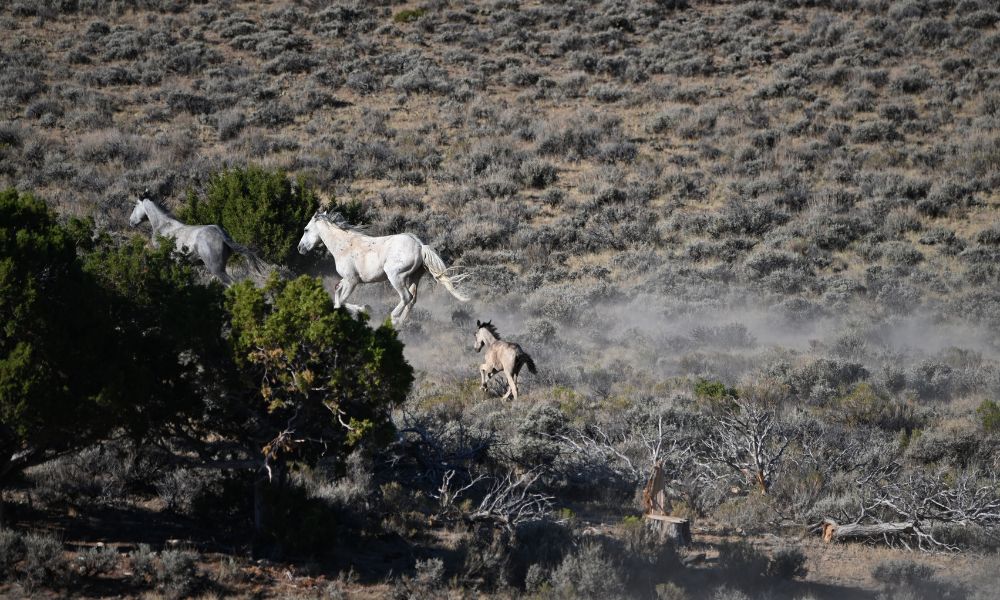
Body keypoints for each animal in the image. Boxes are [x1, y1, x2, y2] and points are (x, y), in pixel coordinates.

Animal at [296, 210, 469, 324]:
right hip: (414, 277)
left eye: (306, 229)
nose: (300, 248)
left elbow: (342, 300)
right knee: (412, 299)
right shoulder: (347, 279)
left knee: (406, 297)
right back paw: (401, 323)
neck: (343, 246)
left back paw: (393, 319)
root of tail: (420, 246)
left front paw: (363, 308)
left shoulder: (352, 281)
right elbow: (338, 293)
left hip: (395, 276)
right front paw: (361, 308)